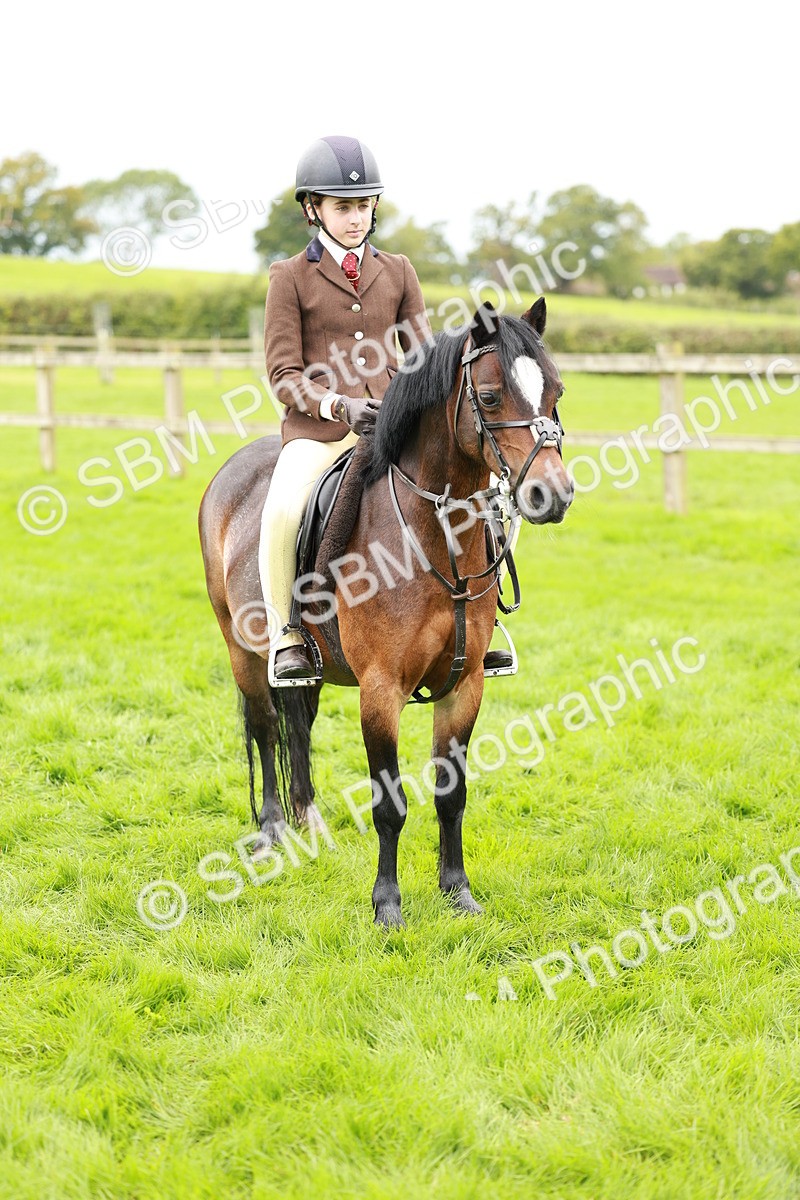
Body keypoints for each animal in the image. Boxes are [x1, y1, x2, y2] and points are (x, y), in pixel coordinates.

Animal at [198, 298, 572, 926]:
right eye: (491, 396)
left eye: (556, 392)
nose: (554, 495)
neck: (434, 538)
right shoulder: (380, 689)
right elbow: (389, 803)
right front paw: (388, 907)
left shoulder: (464, 686)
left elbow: (452, 794)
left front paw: (457, 891)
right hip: (241, 648)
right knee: (266, 725)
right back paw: (273, 830)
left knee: (297, 725)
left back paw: (308, 824)